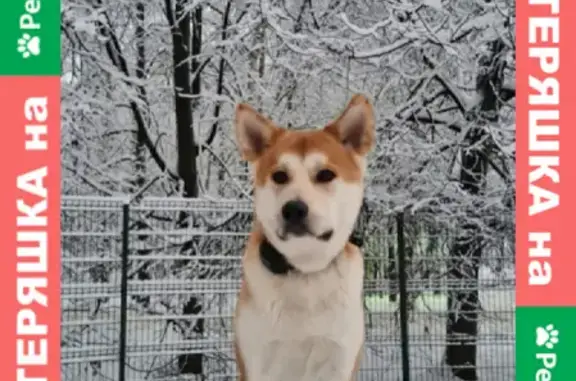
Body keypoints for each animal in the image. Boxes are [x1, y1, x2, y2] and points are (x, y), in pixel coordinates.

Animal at [233, 93, 374, 380]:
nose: (294, 209)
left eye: (326, 174)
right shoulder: (258, 361)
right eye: (279, 175)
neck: (305, 273)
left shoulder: (339, 360)